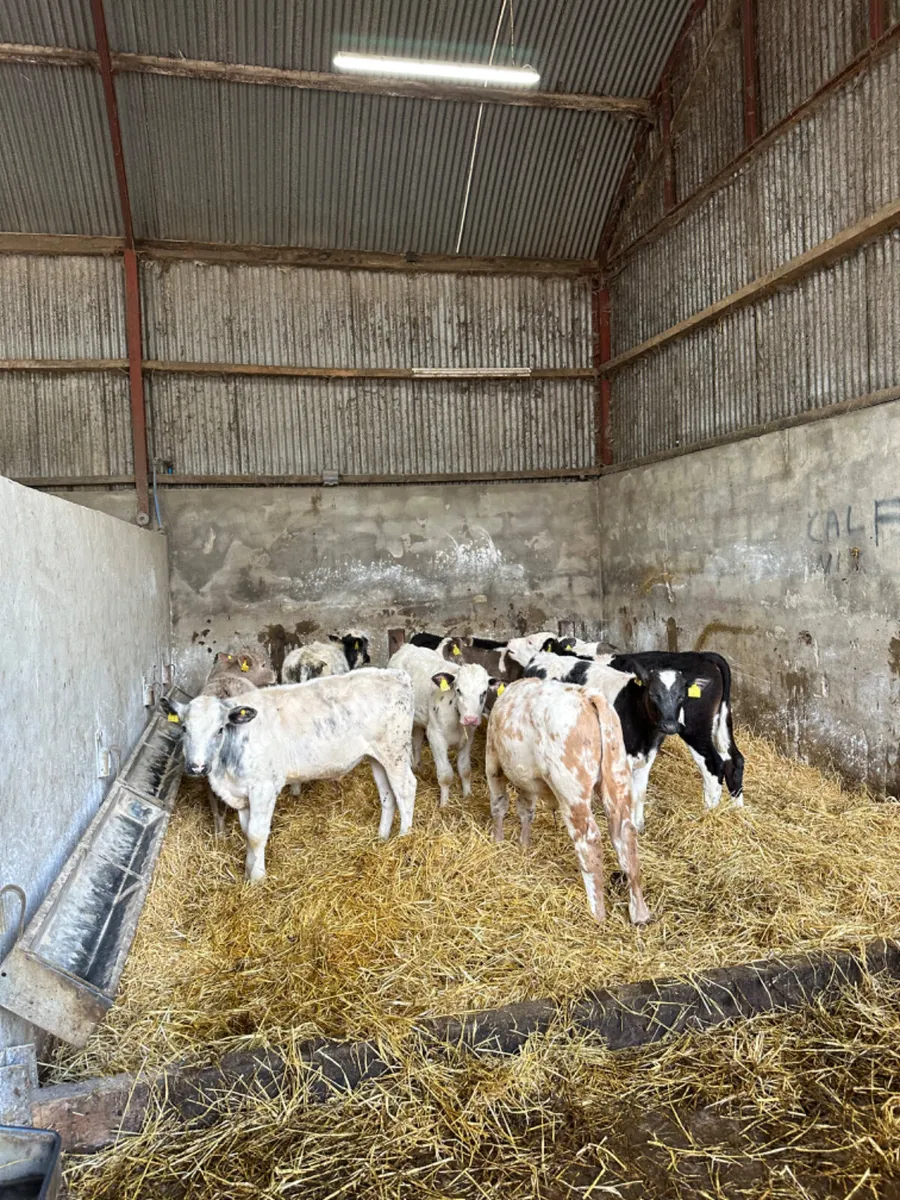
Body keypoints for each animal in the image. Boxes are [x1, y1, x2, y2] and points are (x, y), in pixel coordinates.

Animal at [161, 669, 416, 882]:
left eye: (220, 729)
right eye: (184, 728)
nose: (197, 767)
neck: (226, 770)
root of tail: (396, 674)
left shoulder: (263, 789)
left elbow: (256, 834)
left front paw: (258, 878)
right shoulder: (242, 794)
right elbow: (246, 832)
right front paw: (248, 871)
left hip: (395, 752)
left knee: (406, 788)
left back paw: (404, 839)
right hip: (377, 758)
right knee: (387, 795)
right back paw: (382, 838)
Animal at [389, 642, 501, 807]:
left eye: (484, 692)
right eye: (458, 690)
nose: (470, 719)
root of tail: (407, 646)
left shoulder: (468, 738)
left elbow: (465, 769)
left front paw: (467, 795)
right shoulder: (436, 737)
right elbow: (446, 775)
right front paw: (444, 804)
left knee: (416, 740)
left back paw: (418, 766)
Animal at [486, 677, 650, 925]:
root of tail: (588, 695)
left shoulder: (493, 763)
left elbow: (499, 805)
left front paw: (497, 841)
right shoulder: (528, 780)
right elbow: (526, 810)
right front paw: (524, 845)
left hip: (572, 793)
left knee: (589, 841)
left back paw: (597, 912)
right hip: (617, 779)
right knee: (625, 834)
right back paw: (640, 912)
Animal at [527, 648, 744, 831]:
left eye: (681, 696)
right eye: (653, 695)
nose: (669, 726)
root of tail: (703, 655)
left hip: (695, 728)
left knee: (714, 764)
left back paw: (709, 813)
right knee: (734, 760)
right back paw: (736, 811)